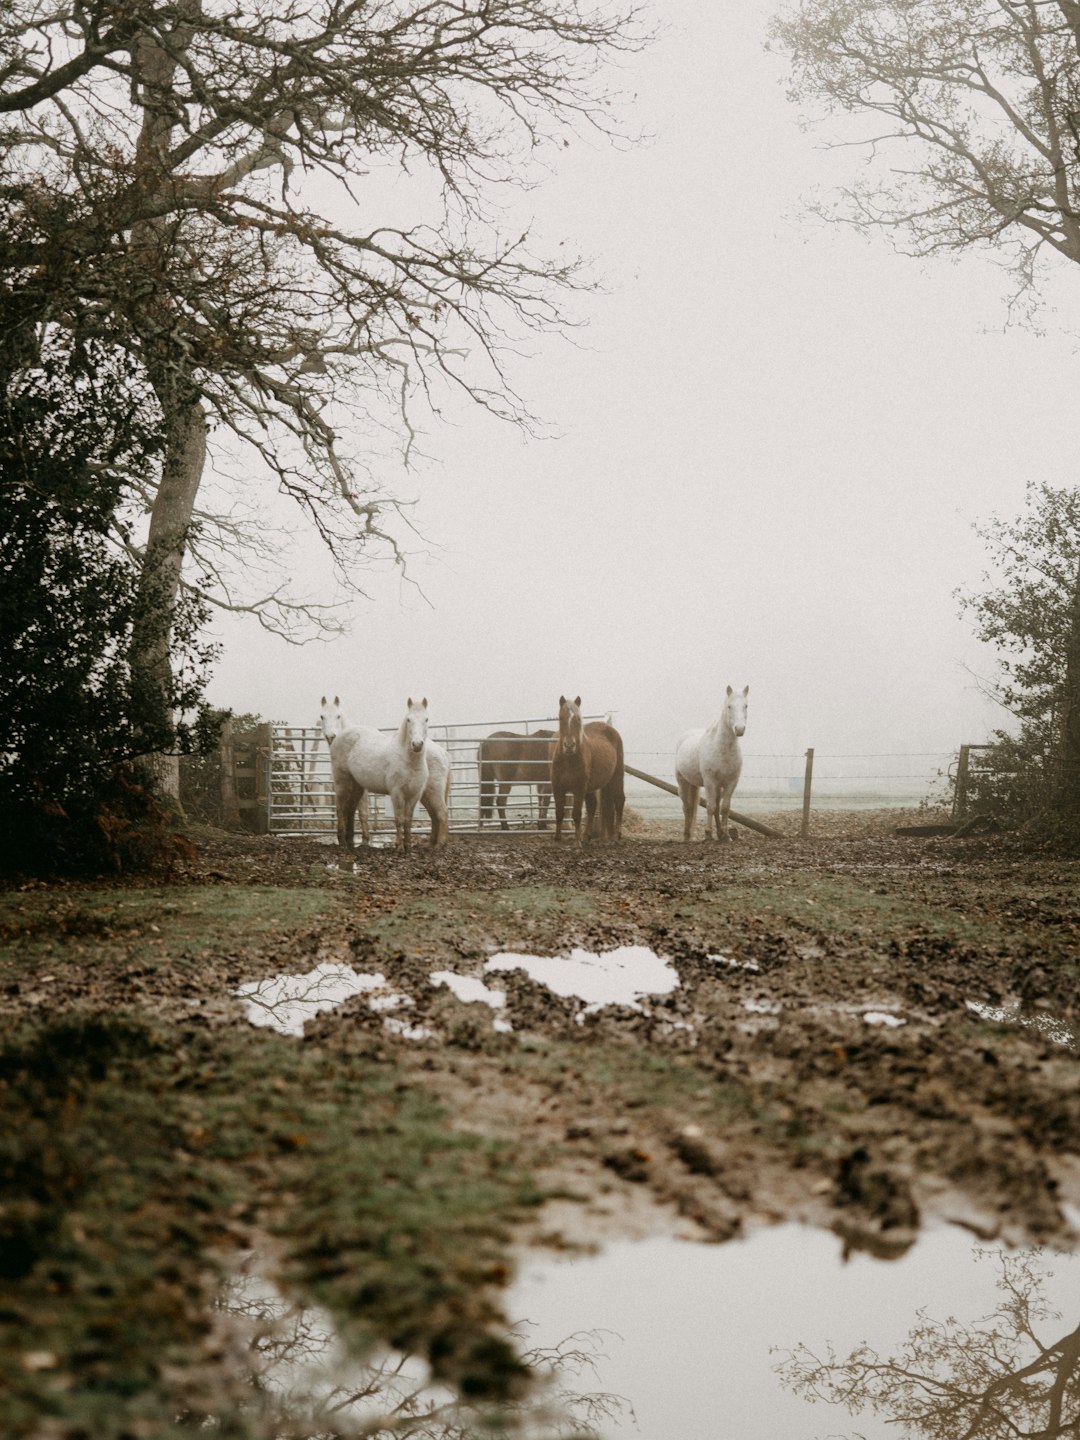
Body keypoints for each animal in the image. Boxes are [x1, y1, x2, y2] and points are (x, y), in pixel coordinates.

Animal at [316, 694, 452, 846]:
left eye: (338, 716)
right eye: (322, 716)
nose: (330, 736)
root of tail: (443, 753)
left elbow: (361, 813)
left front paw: (364, 840)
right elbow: (357, 811)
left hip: (432, 792)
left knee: (441, 813)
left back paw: (438, 844)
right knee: (434, 815)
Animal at [550, 696, 624, 840]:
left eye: (578, 719)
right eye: (561, 718)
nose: (569, 746)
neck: (568, 760)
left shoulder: (579, 789)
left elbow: (576, 814)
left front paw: (577, 841)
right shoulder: (558, 788)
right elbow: (559, 812)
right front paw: (557, 838)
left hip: (617, 777)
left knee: (619, 800)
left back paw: (617, 834)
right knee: (592, 806)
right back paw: (588, 835)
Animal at [676, 685, 754, 840]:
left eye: (746, 706)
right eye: (729, 706)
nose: (739, 729)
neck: (722, 749)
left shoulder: (731, 782)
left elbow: (724, 808)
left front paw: (726, 835)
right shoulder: (710, 782)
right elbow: (710, 807)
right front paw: (708, 834)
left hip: (708, 786)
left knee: (712, 807)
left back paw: (719, 833)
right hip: (683, 782)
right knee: (687, 807)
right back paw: (687, 835)